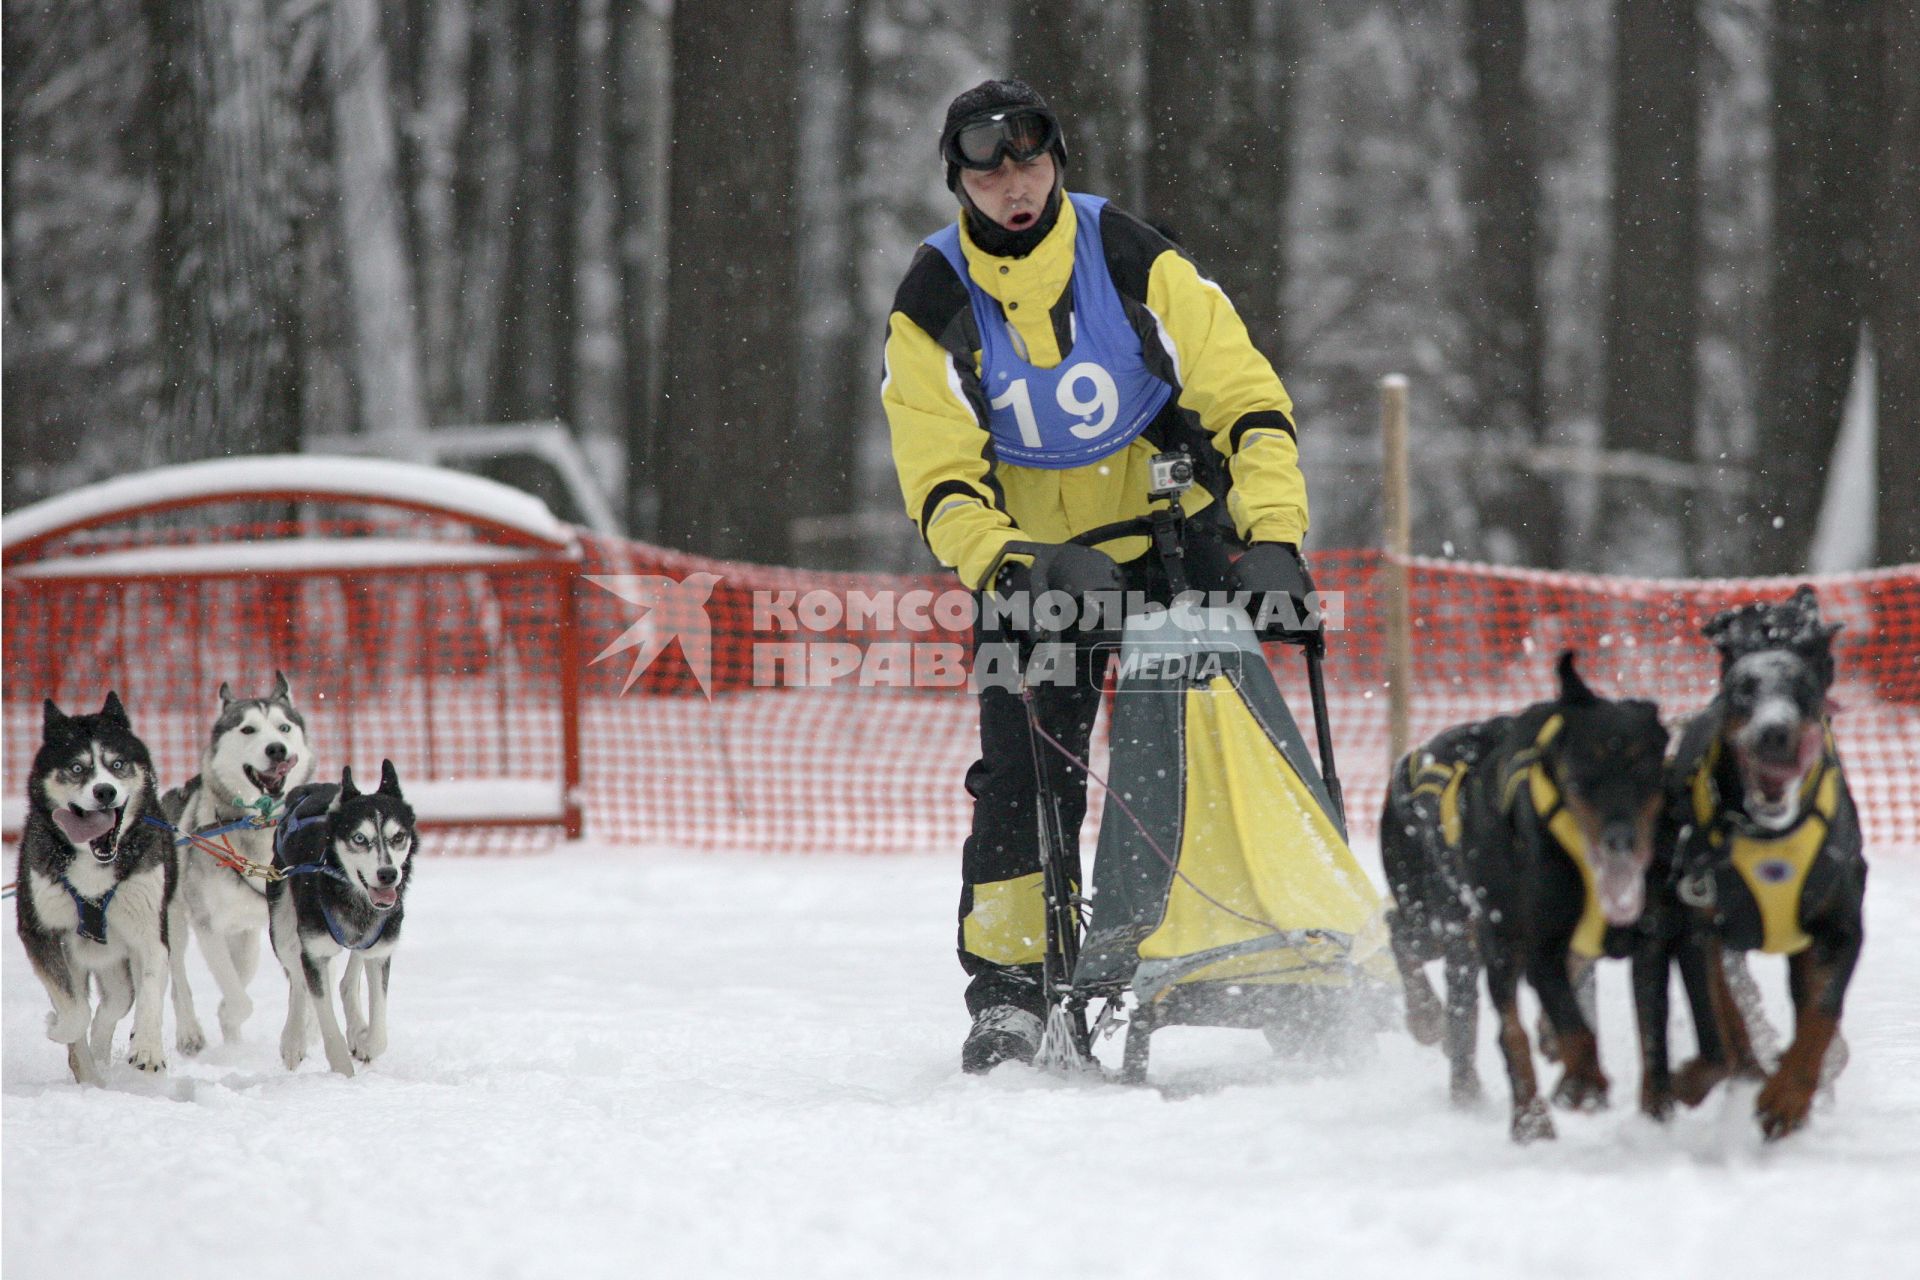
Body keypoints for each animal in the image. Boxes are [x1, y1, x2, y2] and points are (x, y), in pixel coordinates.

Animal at [14, 694, 176, 1090]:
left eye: (116, 764)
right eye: (76, 768)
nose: (105, 791)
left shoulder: (150, 934)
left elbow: (151, 990)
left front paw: (148, 1048)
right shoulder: (39, 932)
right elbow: (73, 1011)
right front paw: (59, 1027)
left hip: (117, 965)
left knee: (114, 1004)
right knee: (85, 1013)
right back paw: (90, 1075)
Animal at [164, 671, 314, 1051]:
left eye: (283, 728)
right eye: (248, 729)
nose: (276, 749)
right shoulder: (207, 926)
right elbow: (239, 999)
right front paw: (228, 1015)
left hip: (247, 939)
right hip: (174, 922)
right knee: (178, 978)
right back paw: (189, 1031)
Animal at [268, 767, 418, 1074]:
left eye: (398, 836)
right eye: (359, 838)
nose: (388, 874)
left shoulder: (380, 950)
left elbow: (380, 1032)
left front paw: (366, 1041)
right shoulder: (314, 953)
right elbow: (326, 1023)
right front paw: (342, 1073)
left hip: (366, 941)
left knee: (348, 981)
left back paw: (357, 1029)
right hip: (282, 926)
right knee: (298, 981)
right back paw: (293, 1040)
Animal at [1390, 656, 1674, 1143]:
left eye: (1645, 771)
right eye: (1581, 777)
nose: (1621, 840)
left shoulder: (1649, 943)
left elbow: (1651, 1033)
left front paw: (1655, 1116)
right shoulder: (1539, 946)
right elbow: (1571, 1027)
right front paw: (1584, 1083)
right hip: (1449, 924)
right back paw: (1525, 1114)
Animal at [1643, 587, 1866, 1143]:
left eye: (1805, 682)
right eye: (1742, 686)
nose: (1773, 732)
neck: (1768, 834)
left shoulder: (1839, 928)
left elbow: (1820, 1016)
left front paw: (1787, 1099)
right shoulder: (1701, 925)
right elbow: (1720, 1024)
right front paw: (1698, 1078)